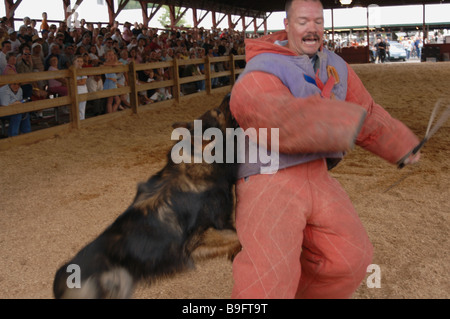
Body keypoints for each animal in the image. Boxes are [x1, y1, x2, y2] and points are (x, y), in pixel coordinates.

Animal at [52, 95, 241, 300]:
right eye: (218, 111)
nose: (229, 96)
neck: (199, 162)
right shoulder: (197, 240)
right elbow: (238, 236)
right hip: (119, 279)